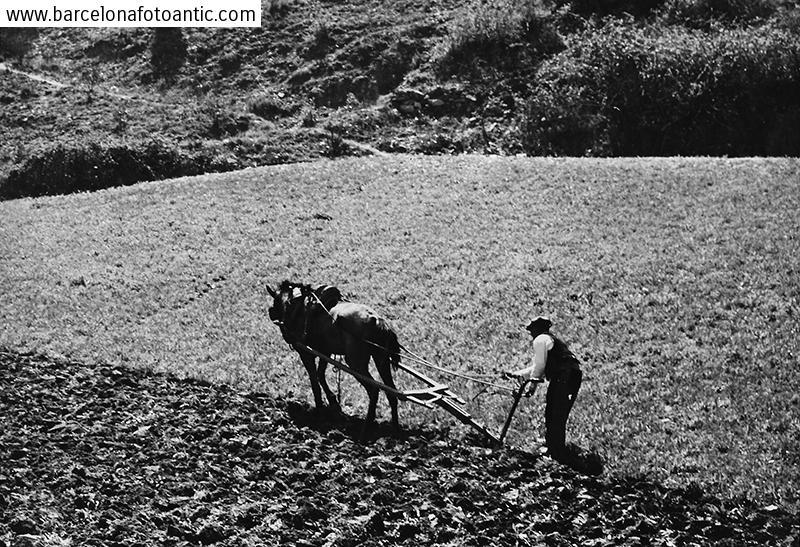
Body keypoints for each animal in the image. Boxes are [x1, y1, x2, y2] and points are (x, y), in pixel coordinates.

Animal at [268, 280, 404, 438]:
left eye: (275, 302)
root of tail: (375, 320)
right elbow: (320, 375)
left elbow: (314, 380)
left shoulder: (305, 353)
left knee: (374, 390)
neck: (297, 306)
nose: (271, 313)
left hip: (356, 363)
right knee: (391, 391)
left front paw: (319, 408)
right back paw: (395, 429)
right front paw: (333, 402)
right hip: (381, 359)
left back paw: (366, 428)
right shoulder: (325, 352)